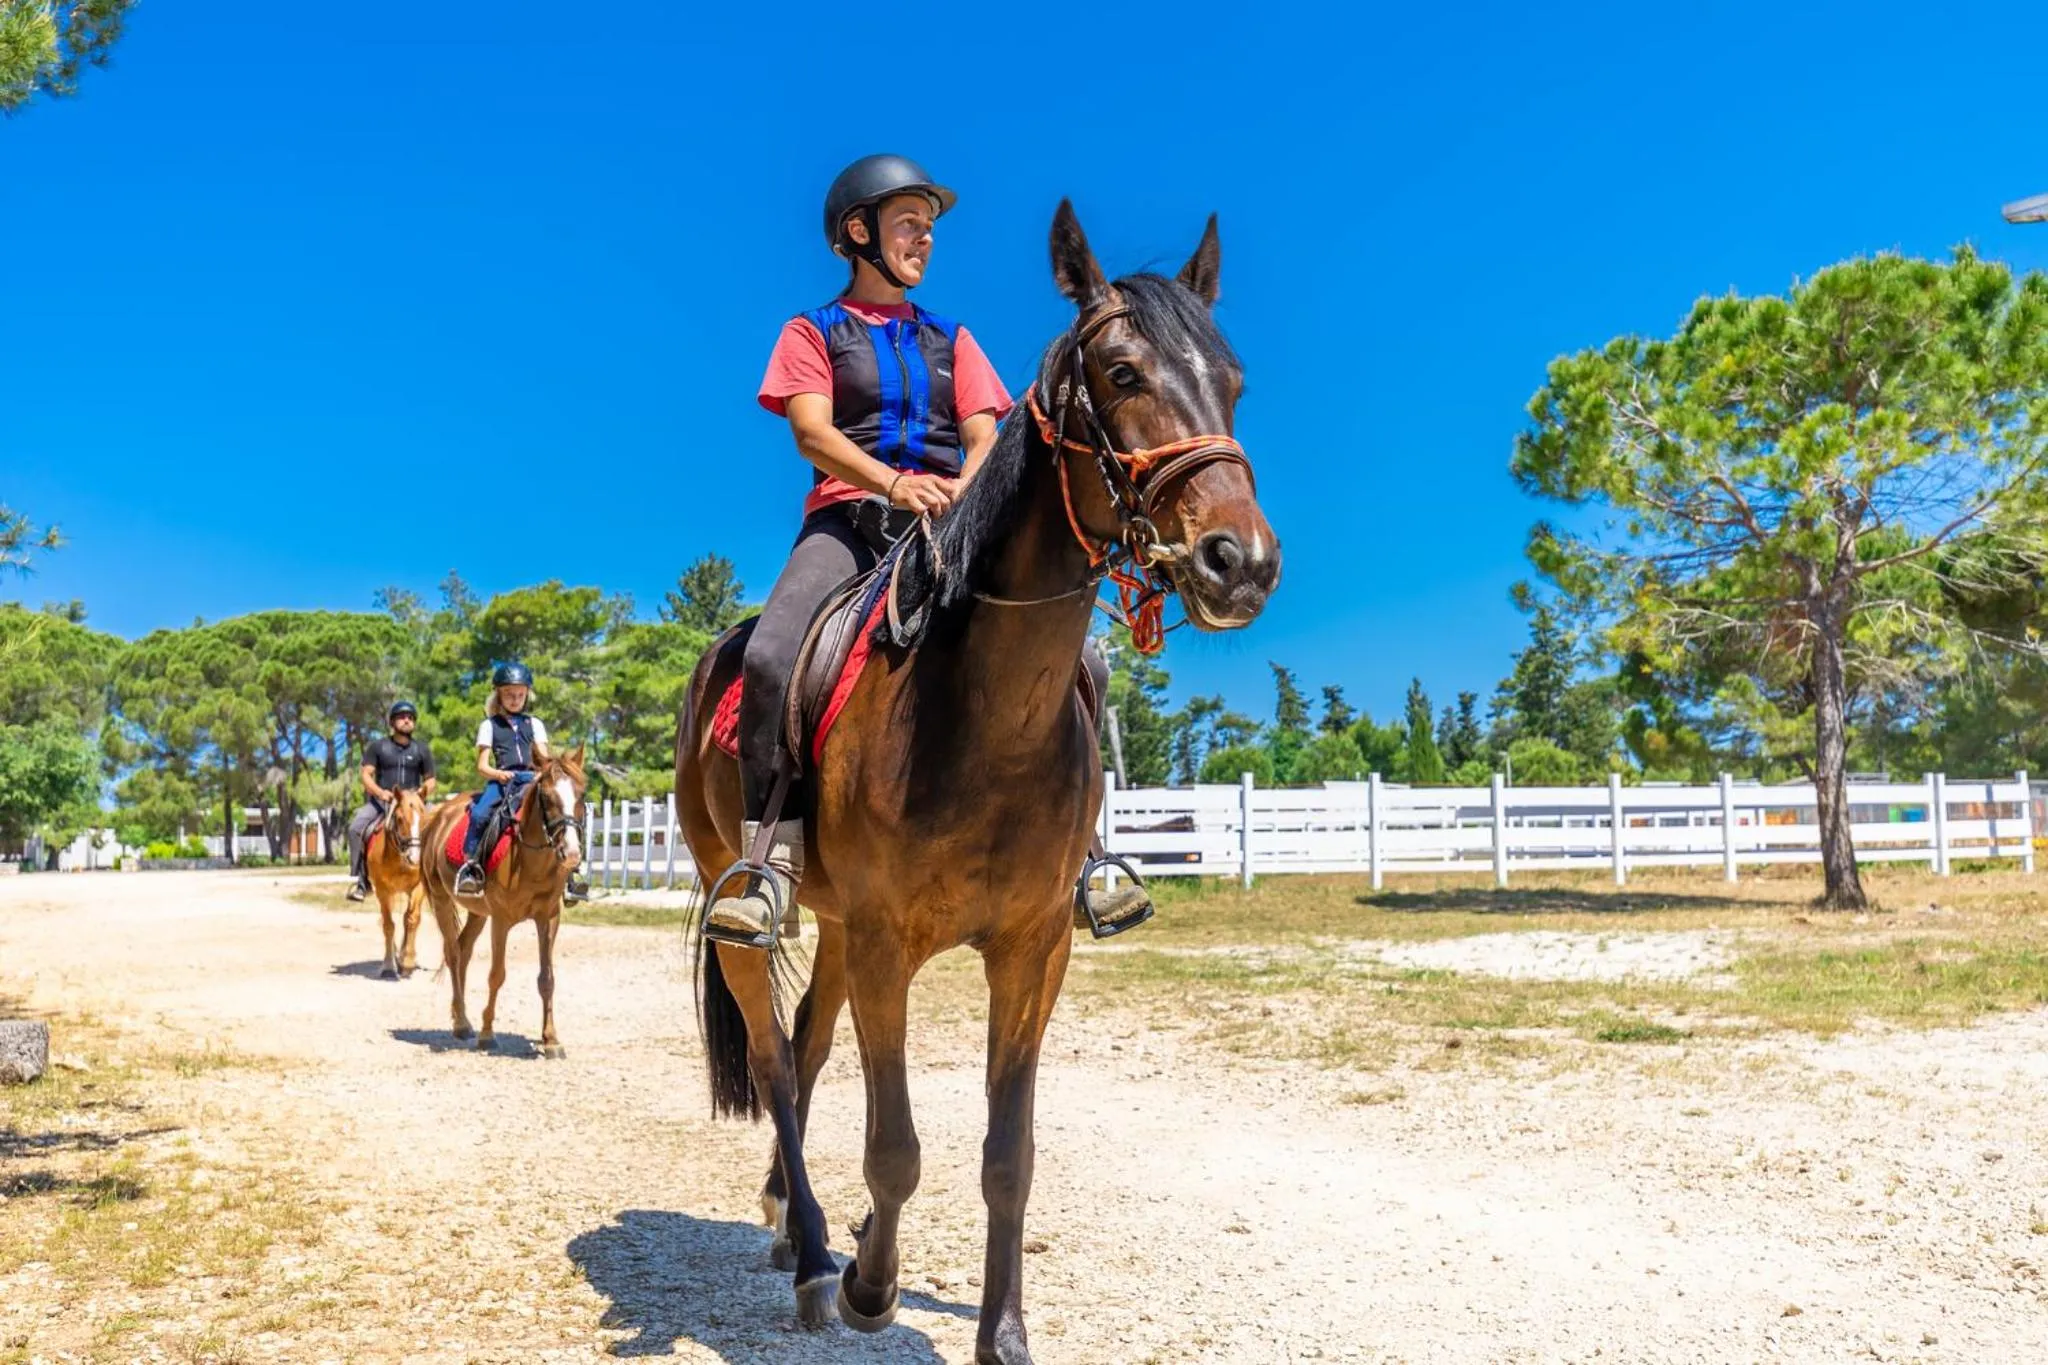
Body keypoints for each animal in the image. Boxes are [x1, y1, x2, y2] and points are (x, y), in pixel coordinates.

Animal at [364, 785, 432, 980]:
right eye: (400, 819)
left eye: (424, 817)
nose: (415, 857)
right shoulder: (383, 891)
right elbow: (388, 925)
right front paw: (388, 965)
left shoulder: (418, 887)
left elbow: (412, 919)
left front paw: (407, 961)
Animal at [418, 746, 587, 1058]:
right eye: (547, 797)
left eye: (581, 794)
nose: (571, 853)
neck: (531, 861)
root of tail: (439, 815)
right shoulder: (501, 920)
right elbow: (497, 975)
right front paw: (487, 1034)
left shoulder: (549, 918)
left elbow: (547, 978)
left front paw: (551, 1040)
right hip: (442, 900)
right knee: (453, 953)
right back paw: (463, 1024)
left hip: (478, 913)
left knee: (463, 951)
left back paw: (460, 1018)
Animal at [673, 201, 1279, 1361]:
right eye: (1124, 374)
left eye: (1232, 380)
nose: (1241, 562)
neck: (983, 721)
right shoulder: (886, 943)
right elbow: (896, 1146)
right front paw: (869, 1284)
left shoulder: (1031, 948)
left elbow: (1009, 1155)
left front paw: (1000, 1332)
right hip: (746, 901)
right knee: (775, 1060)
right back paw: (813, 1257)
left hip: (838, 926)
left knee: (808, 1047)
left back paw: (789, 1220)